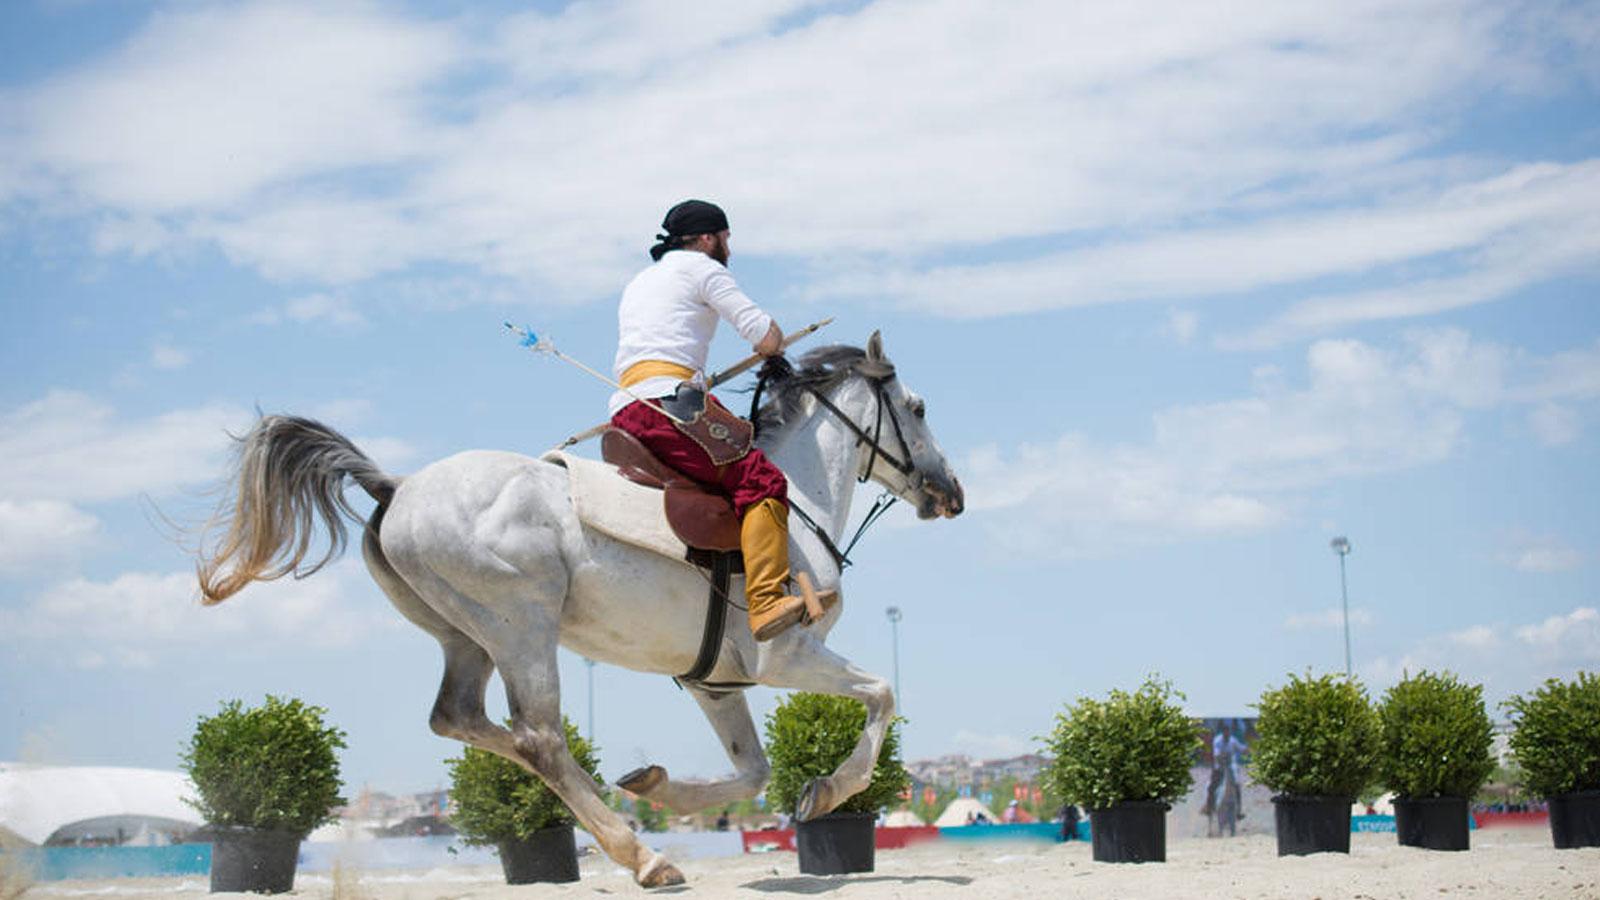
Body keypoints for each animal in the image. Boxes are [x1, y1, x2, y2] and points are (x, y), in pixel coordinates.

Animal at [193, 331, 953, 883]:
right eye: (918, 408)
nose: (950, 490)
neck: (797, 500)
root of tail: (397, 485)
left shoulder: (713, 680)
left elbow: (753, 769)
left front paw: (661, 788)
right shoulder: (786, 654)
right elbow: (881, 695)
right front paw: (827, 791)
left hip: (466, 636)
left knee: (460, 719)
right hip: (523, 626)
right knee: (538, 736)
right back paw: (642, 856)